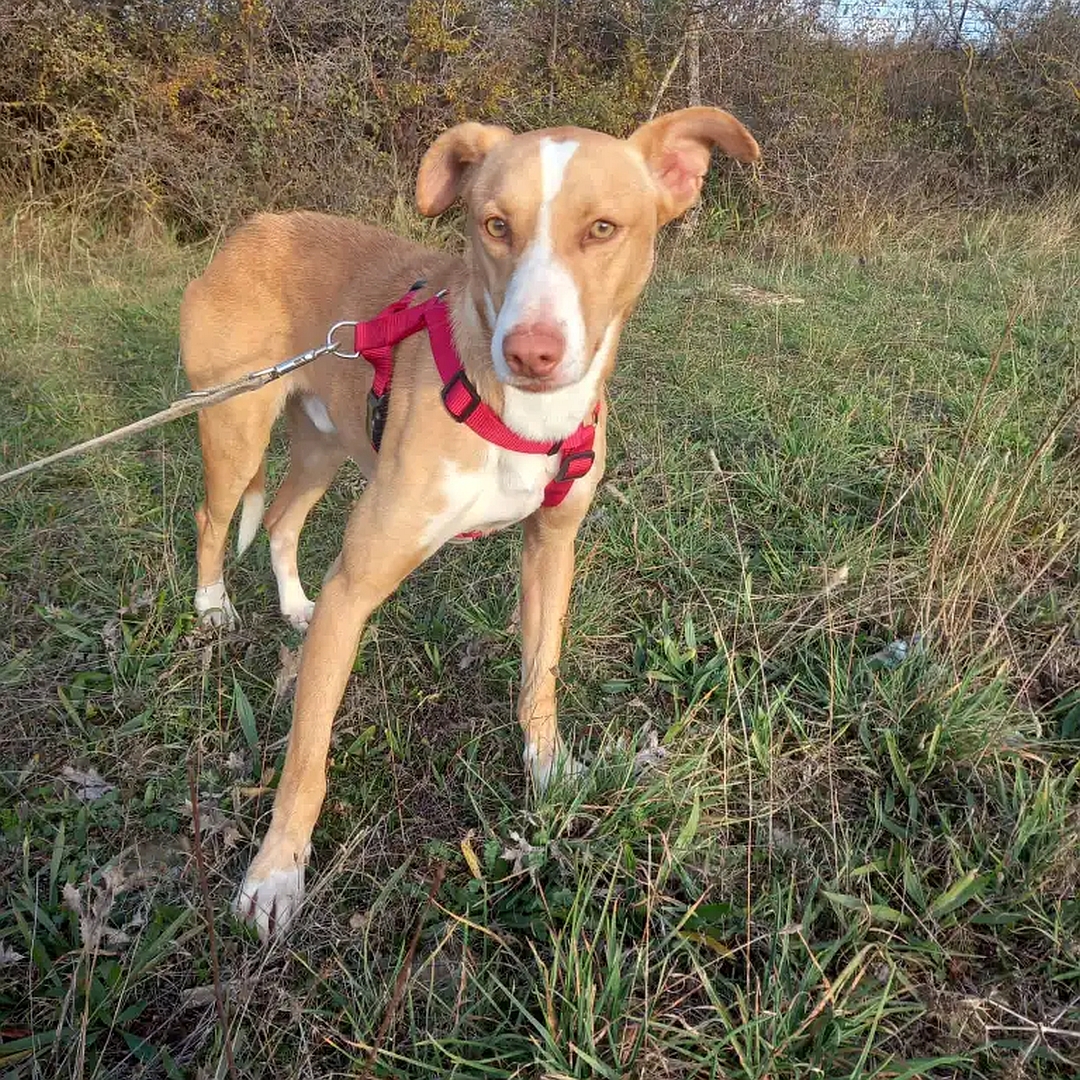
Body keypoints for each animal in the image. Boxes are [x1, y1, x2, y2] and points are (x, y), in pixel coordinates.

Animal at [179, 105, 760, 941]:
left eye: (603, 229)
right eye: (494, 224)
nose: (531, 352)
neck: (518, 417)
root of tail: (252, 227)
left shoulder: (552, 546)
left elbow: (540, 674)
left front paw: (550, 771)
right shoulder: (358, 583)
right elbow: (307, 757)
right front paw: (275, 873)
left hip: (323, 443)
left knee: (284, 520)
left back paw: (292, 605)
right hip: (234, 428)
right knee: (214, 514)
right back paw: (212, 608)